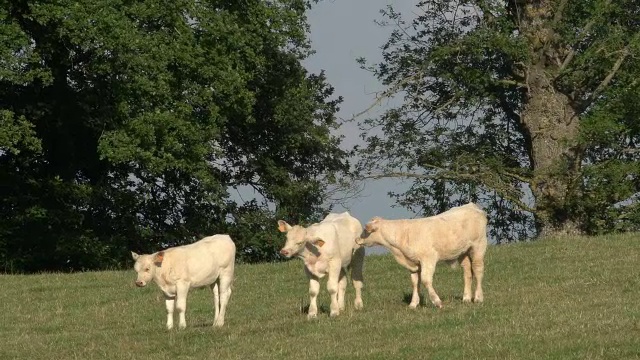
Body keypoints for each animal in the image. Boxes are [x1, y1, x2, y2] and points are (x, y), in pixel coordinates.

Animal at [358, 204, 488, 308]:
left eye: (365, 230)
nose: (356, 239)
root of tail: (471, 205)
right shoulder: (413, 263)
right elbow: (415, 282)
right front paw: (413, 304)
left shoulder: (428, 259)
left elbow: (425, 280)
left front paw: (437, 301)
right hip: (462, 251)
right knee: (467, 272)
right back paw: (466, 298)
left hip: (478, 246)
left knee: (478, 269)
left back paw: (478, 298)